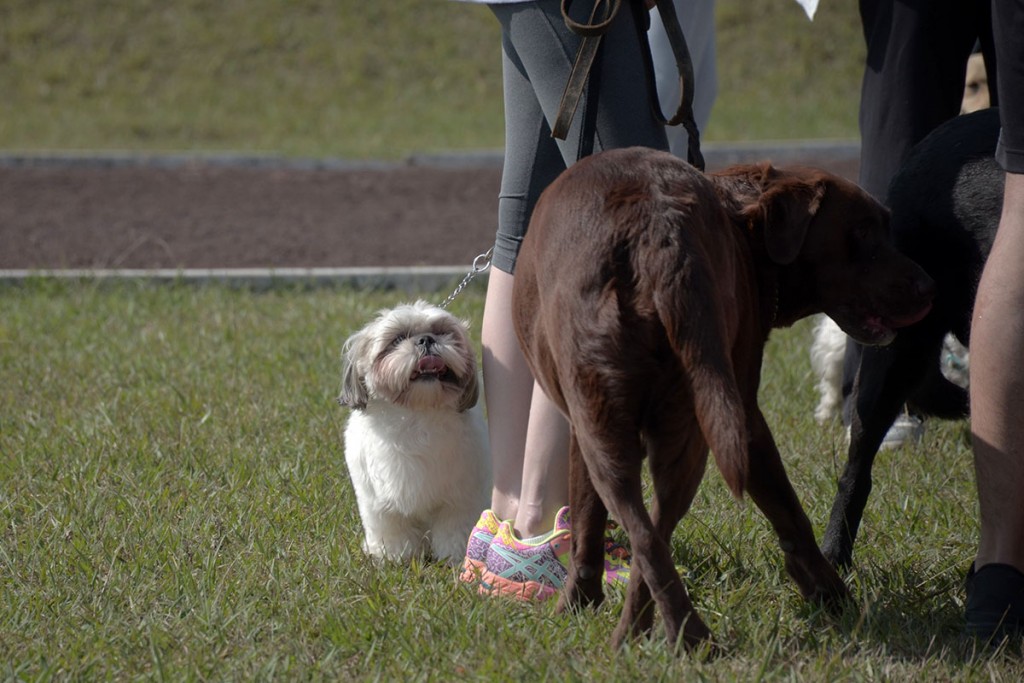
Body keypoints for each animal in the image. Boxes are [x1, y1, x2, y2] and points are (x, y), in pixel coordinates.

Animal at [337, 301, 489, 565]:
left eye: (442, 332)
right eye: (398, 339)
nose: (426, 339)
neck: (417, 414)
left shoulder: (460, 498)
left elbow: (455, 528)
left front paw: (456, 556)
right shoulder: (379, 502)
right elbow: (392, 528)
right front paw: (393, 556)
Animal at [512, 148, 937, 651]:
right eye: (866, 232)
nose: (931, 287)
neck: (746, 227)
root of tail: (658, 233)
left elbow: (588, 521)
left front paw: (576, 604)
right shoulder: (738, 417)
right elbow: (787, 512)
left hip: (644, 421)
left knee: (646, 533)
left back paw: (656, 636)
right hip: (672, 416)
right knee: (653, 534)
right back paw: (672, 634)